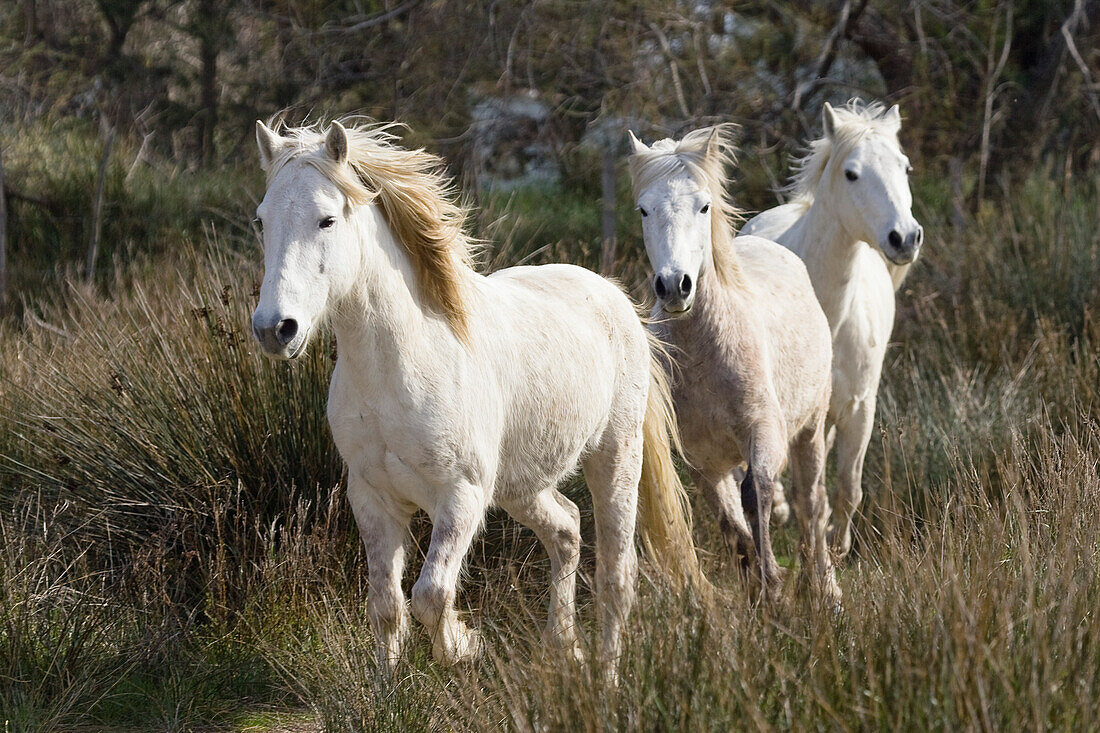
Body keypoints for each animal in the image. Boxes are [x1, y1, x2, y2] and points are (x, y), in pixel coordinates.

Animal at [248, 118, 699, 669]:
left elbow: (431, 595)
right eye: (262, 220)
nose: (275, 329)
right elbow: (386, 608)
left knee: (617, 576)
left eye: (327, 220)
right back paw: (562, 644)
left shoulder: (460, 498)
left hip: (615, 458)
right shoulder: (373, 499)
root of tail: (615, 296)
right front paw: (389, 684)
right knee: (567, 530)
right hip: (520, 484)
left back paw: (604, 674)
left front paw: (462, 645)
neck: (400, 367)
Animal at [629, 122, 831, 598]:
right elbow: (734, 529)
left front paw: (774, 583)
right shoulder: (704, 461)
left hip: (810, 428)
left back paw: (824, 588)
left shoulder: (765, 433)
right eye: (643, 210)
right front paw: (761, 592)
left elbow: (757, 498)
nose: (674, 286)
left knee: (812, 504)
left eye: (704, 206)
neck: (706, 355)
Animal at [743, 100, 924, 550]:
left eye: (905, 167)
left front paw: (837, 546)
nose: (905, 238)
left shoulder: (858, 409)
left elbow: (848, 488)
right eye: (852, 173)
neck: (831, 316)